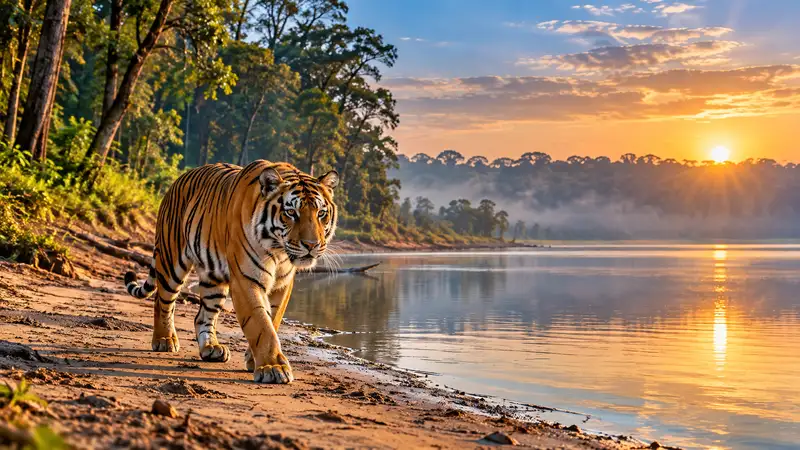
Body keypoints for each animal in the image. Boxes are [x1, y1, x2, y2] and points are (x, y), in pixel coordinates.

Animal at [123, 160, 338, 384]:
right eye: (291, 213)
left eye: (321, 213)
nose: (312, 245)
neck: (279, 251)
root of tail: (178, 180)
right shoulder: (246, 280)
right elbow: (261, 324)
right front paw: (273, 367)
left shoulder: (283, 284)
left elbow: (273, 320)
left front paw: (254, 360)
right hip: (171, 261)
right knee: (162, 301)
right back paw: (164, 340)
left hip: (213, 279)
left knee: (202, 316)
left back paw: (210, 348)